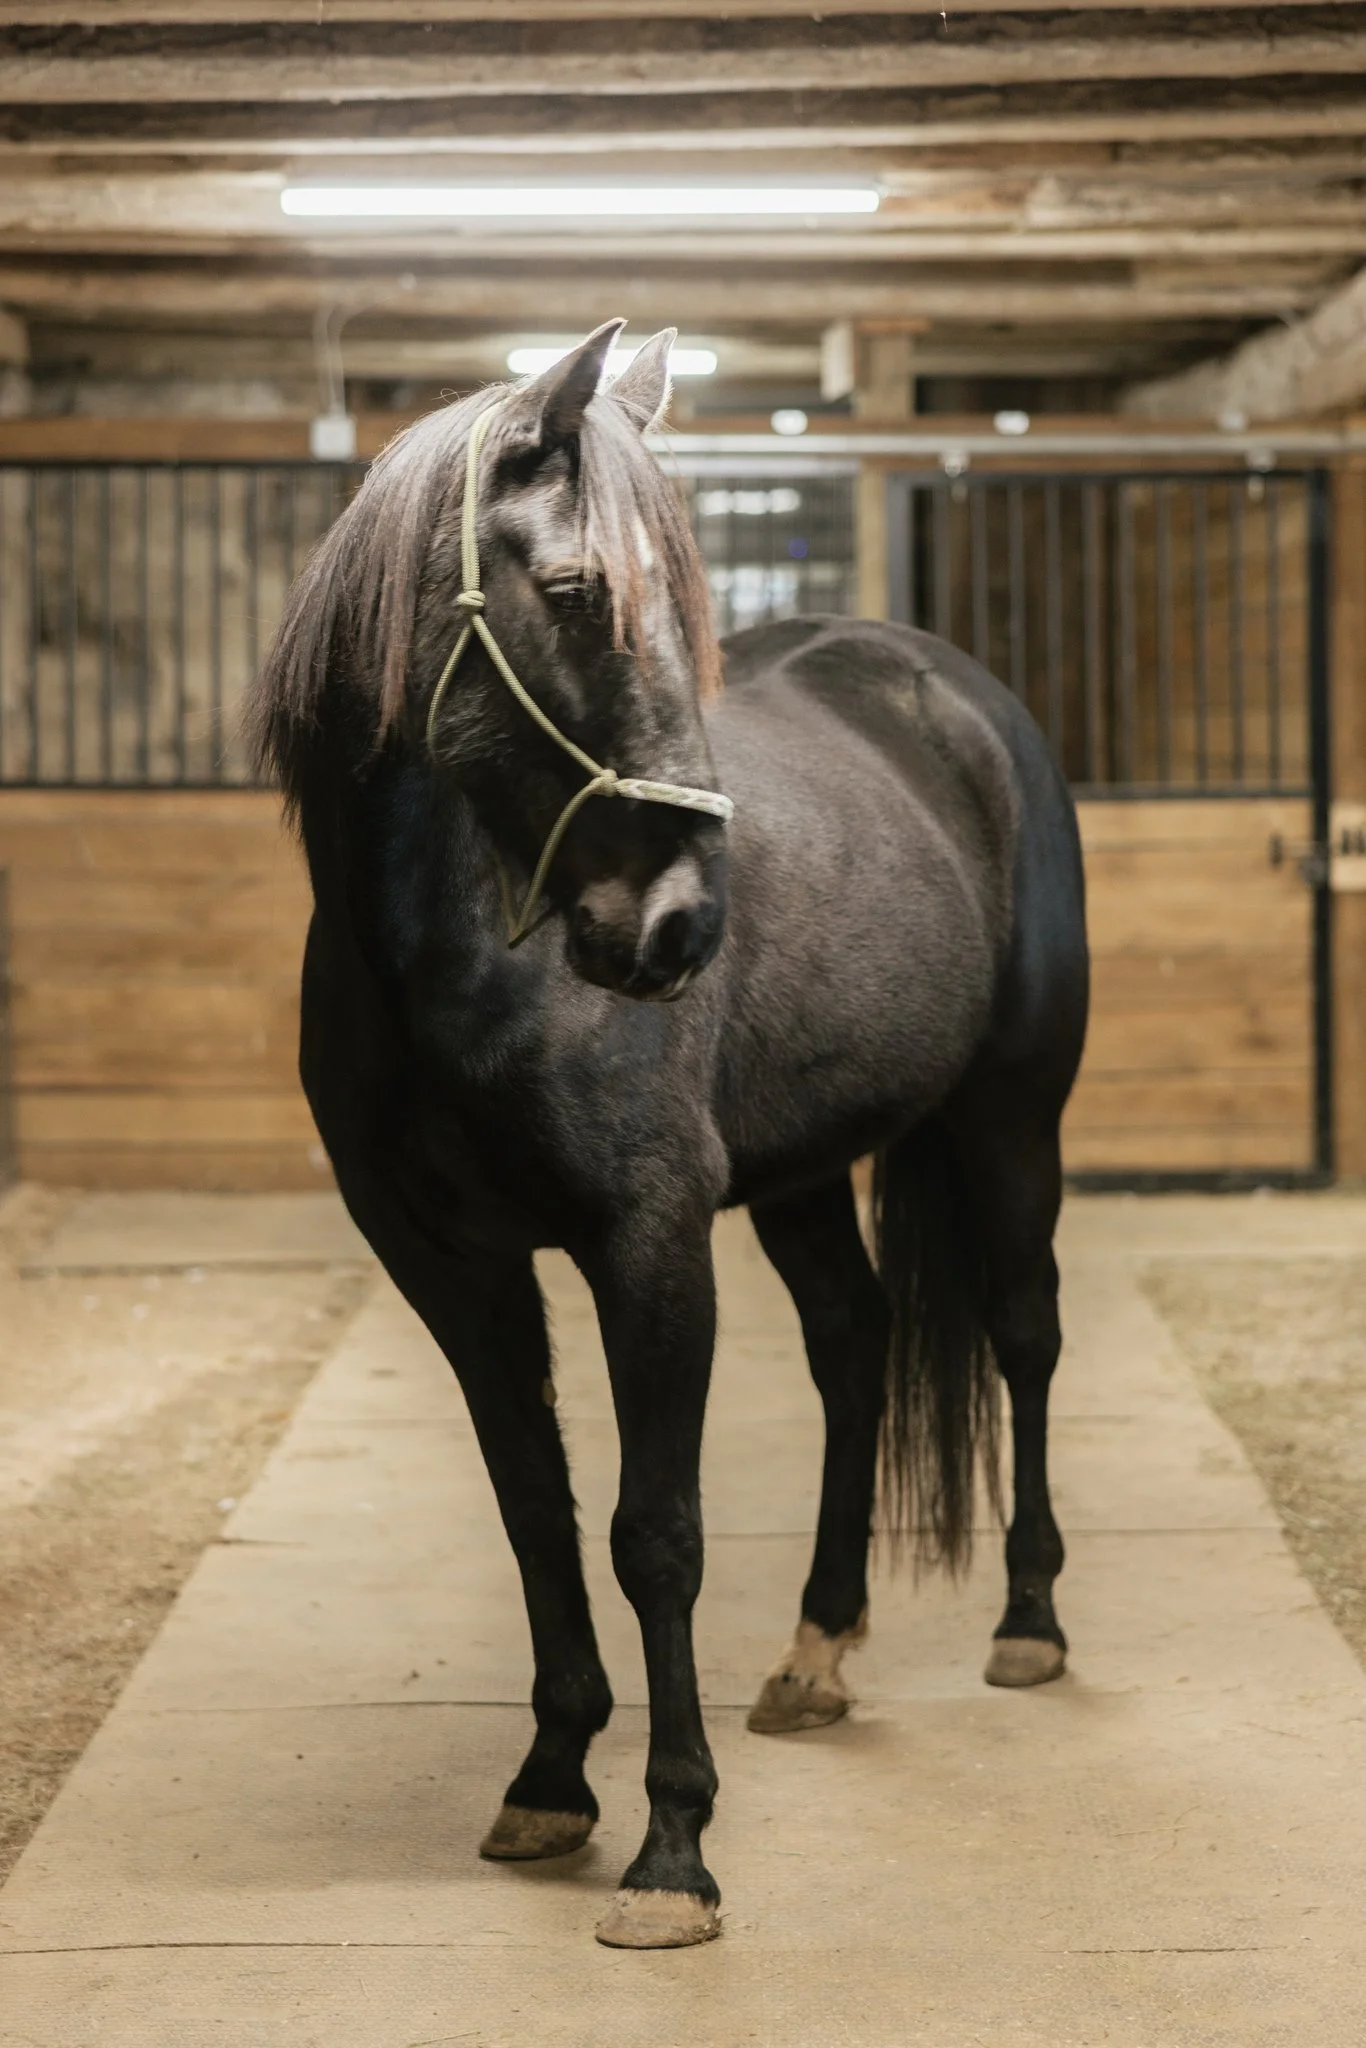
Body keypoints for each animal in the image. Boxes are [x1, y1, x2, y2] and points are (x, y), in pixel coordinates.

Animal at [249, 318, 1089, 1950]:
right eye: (576, 592)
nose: (682, 928)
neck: (454, 956)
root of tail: (956, 692)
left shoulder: (645, 1241)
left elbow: (656, 1530)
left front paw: (672, 1851)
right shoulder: (450, 1266)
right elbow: (536, 1507)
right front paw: (549, 1780)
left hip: (1013, 1120)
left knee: (1021, 1334)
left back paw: (1027, 1621)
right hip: (807, 1174)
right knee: (853, 1347)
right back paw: (818, 1649)